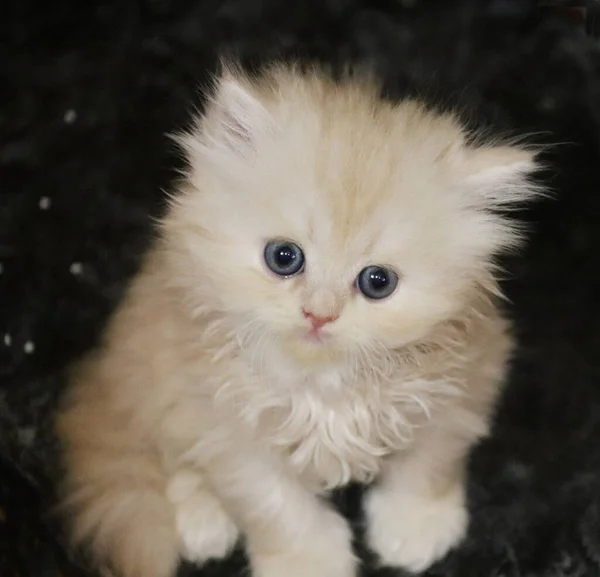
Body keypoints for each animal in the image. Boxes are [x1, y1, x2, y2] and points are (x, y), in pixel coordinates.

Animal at [57, 62, 544, 576]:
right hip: (152, 375)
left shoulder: (462, 388)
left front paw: (413, 527)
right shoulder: (225, 431)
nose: (319, 315)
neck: (325, 390)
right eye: (284, 257)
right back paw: (200, 519)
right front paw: (309, 562)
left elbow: (425, 468)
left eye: (377, 282)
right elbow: (280, 510)